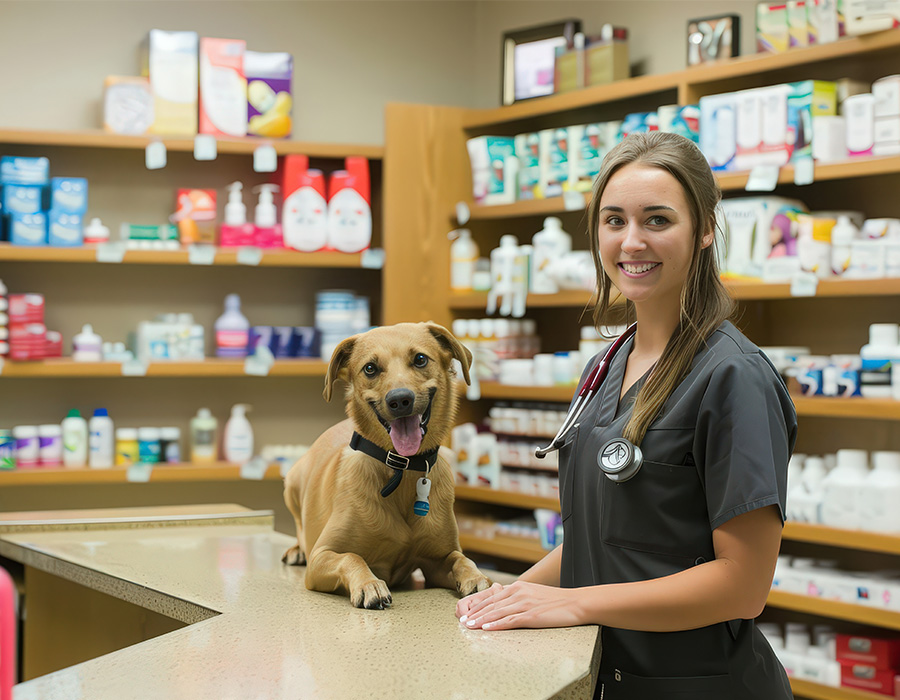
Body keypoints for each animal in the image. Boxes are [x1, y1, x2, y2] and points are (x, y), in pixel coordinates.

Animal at [282, 322, 492, 608]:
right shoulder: (321, 557)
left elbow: (461, 558)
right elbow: (352, 557)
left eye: (420, 359)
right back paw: (296, 550)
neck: (402, 469)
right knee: (301, 530)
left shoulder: (437, 561)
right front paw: (369, 584)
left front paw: (476, 577)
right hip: (291, 485)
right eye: (370, 368)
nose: (400, 400)